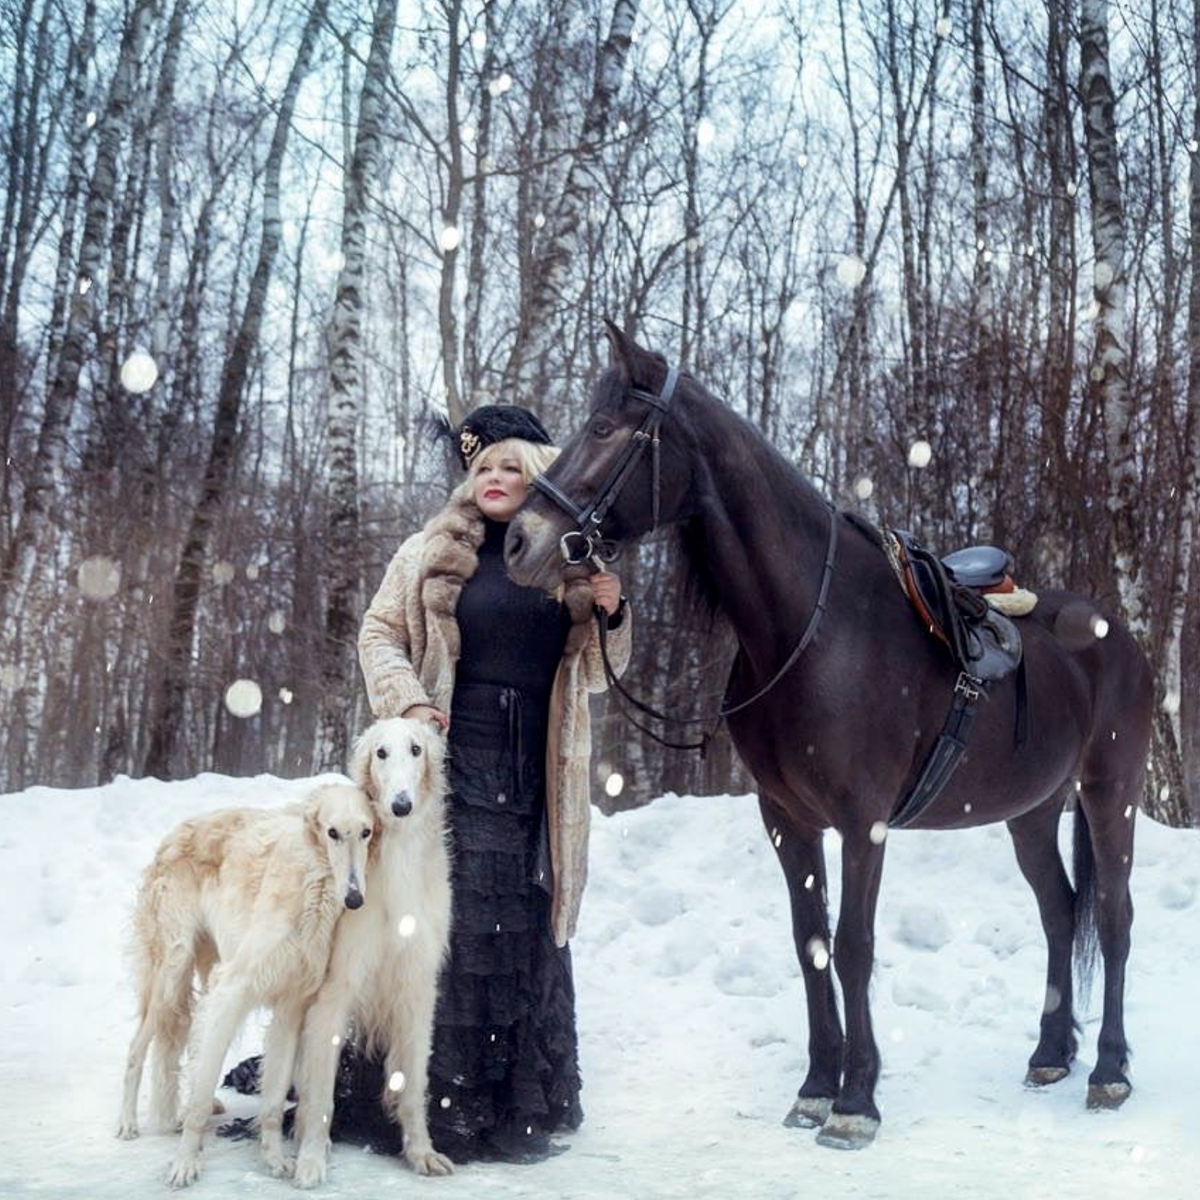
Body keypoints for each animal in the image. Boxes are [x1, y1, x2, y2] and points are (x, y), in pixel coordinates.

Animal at [117, 782, 376, 1185]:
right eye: (332, 832)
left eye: (367, 832)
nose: (354, 898)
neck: (309, 885)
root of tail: (174, 834)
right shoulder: (234, 989)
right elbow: (201, 1097)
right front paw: (185, 1164)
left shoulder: (291, 1006)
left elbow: (272, 1102)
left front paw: (274, 1160)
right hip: (173, 971)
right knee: (137, 1048)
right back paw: (128, 1123)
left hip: (206, 972)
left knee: (189, 1046)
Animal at [290, 715, 453, 1185]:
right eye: (381, 752)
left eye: (416, 749)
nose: (401, 806)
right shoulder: (334, 991)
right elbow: (320, 1095)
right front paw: (311, 1158)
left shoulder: (417, 989)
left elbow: (413, 1085)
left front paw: (422, 1153)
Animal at [504, 324, 1152, 1147]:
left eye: (604, 429)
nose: (519, 541)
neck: (809, 635)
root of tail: (1118, 636)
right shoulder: (788, 820)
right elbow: (809, 944)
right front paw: (816, 1087)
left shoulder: (861, 822)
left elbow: (853, 947)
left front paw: (856, 1101)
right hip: (1032, 812)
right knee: (1061, 912)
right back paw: (1049, 1053)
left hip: (1110, 793)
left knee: (1115, 916)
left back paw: (1110, 1070)